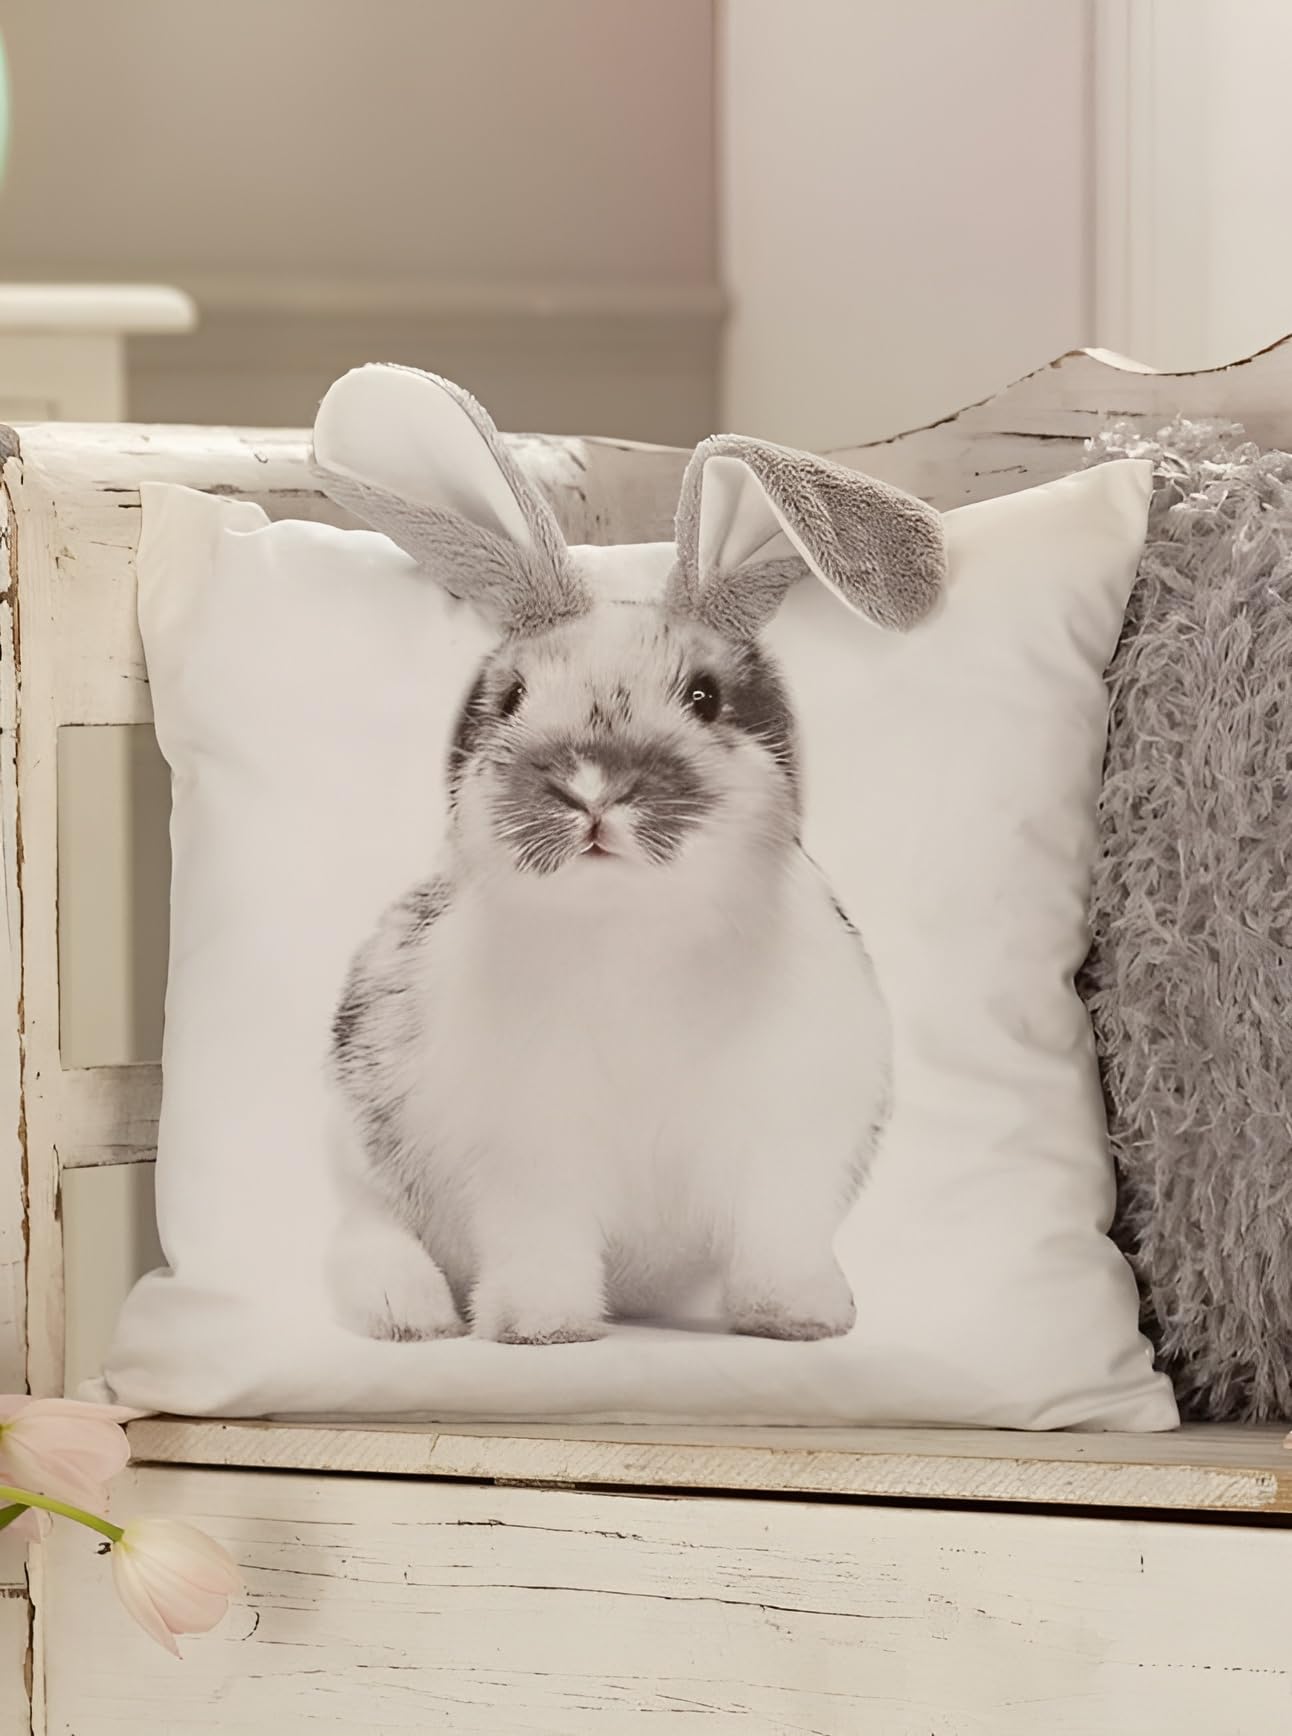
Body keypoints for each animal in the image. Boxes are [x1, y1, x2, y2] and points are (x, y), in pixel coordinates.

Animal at [312, 365, 946, 1347]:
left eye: (706, 696)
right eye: (512, 697)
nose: (591, 786)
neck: (633, 933)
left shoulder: (787, 1148)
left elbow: (779, 1242)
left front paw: (799, 1320)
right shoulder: (529, 1158)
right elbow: (542, 1244)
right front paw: (542, 1329)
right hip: (361, 1161)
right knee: (365, 1235)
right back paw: (408, 1314)